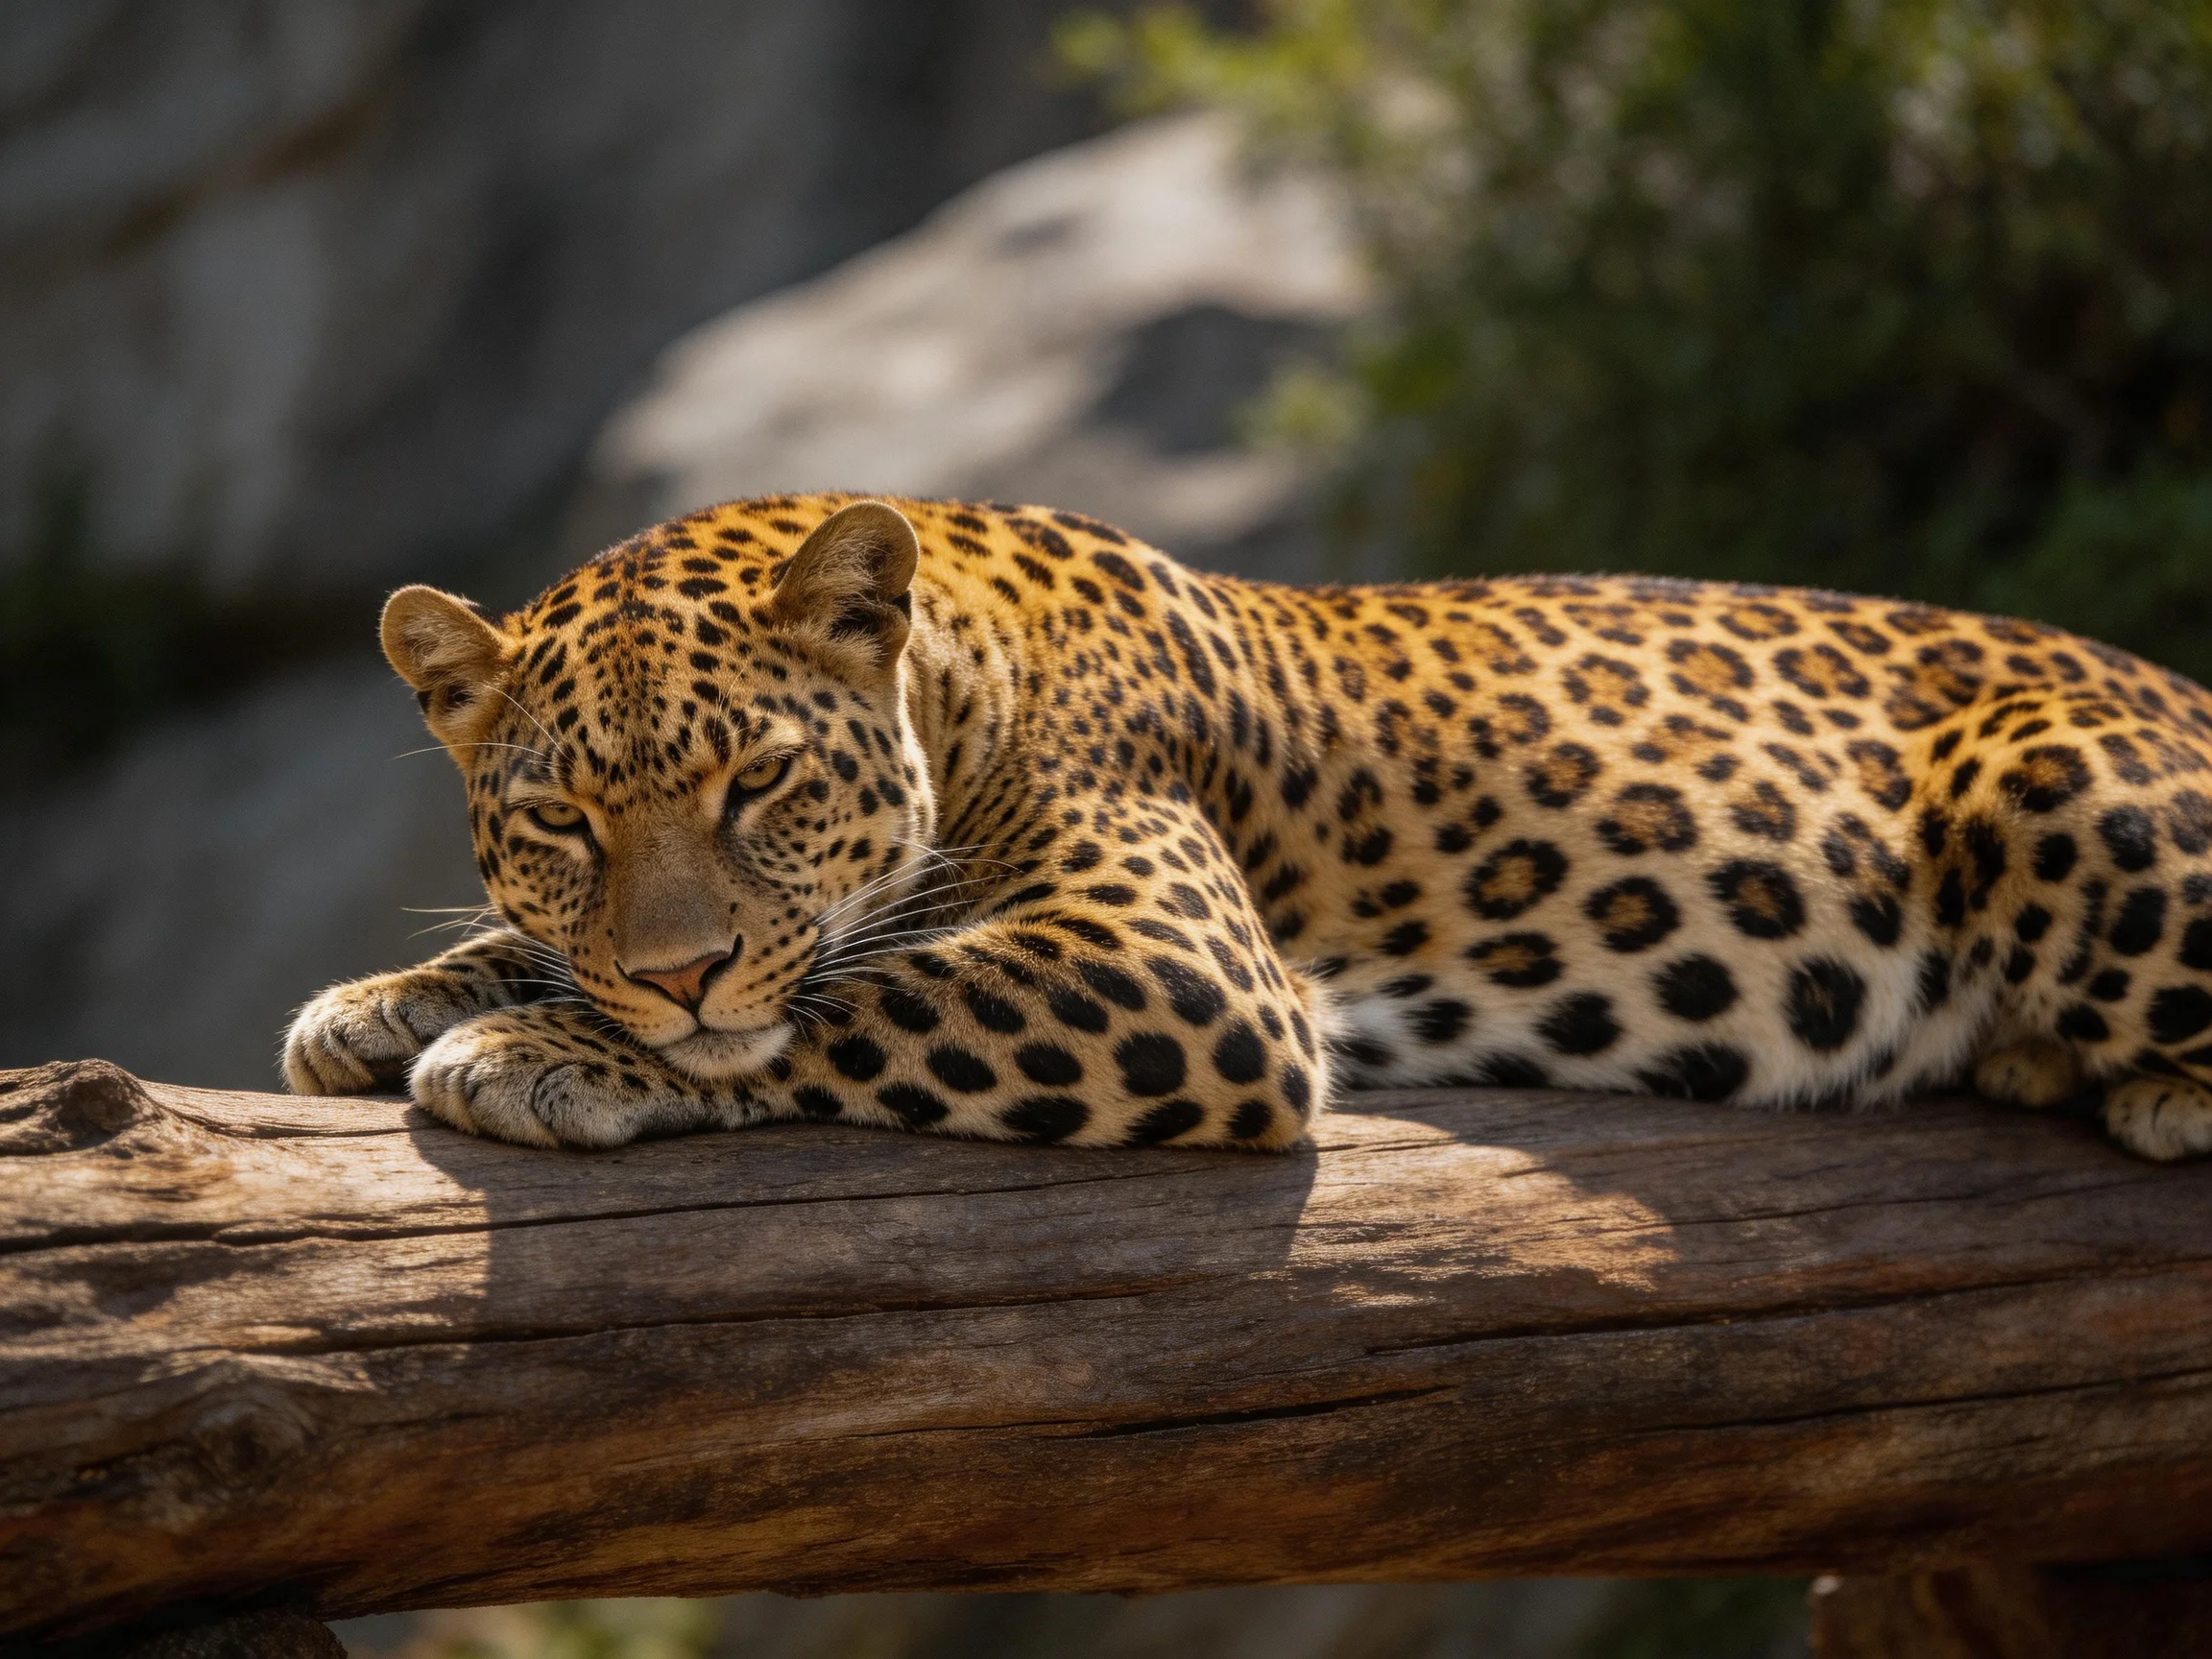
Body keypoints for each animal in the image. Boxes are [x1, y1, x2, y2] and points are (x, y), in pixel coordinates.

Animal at [286, 492, 2212, 1162]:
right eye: (561, 818)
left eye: (756, 782)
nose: (676, 975)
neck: (955, 665)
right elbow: (546, 944)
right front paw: (380, 1007)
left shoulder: (1181, 972)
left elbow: (862, 995)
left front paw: (536, 1050)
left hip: (2051, 774)